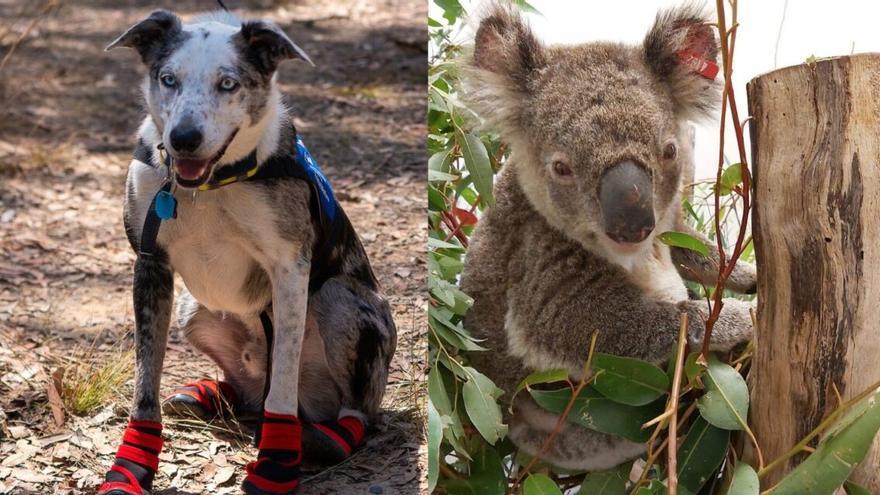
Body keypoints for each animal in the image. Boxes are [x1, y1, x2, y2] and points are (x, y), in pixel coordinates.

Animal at [99, 8, 396, 495]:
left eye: (228, 83)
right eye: (167, 79)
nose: (183, 138)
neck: (211, 186)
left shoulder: (289, 268)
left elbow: (283, 381)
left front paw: (275, 463)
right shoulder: (151, 265)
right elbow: (145, 380)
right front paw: (130, 467)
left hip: (340, 303)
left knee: (349, 409)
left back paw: (323, 438)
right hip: (191, 307)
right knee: (248, 389)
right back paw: (206, 395)